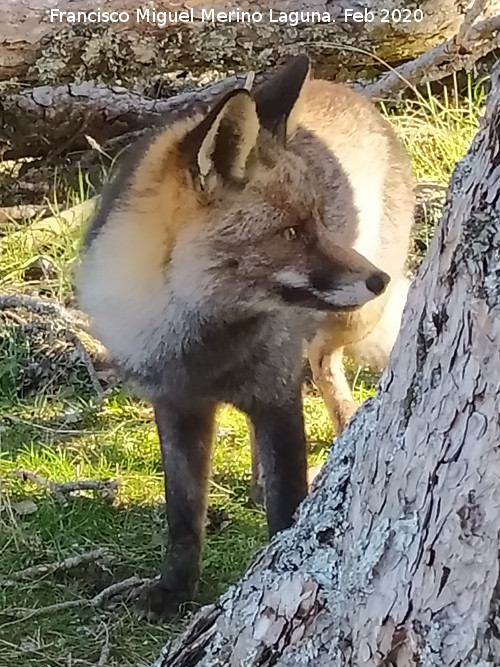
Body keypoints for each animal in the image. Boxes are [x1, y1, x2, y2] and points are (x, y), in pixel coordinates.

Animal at [77, 54, 414, 616]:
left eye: (319, 222)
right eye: (292, 232)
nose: (379, 280)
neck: (203, 347)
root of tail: (350, 92)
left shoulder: (275, 396)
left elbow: (287, 505)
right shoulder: (176, 404)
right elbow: (182, 513)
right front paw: (174, 589)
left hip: (348, 321)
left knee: (323, 362)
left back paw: (348, 425)